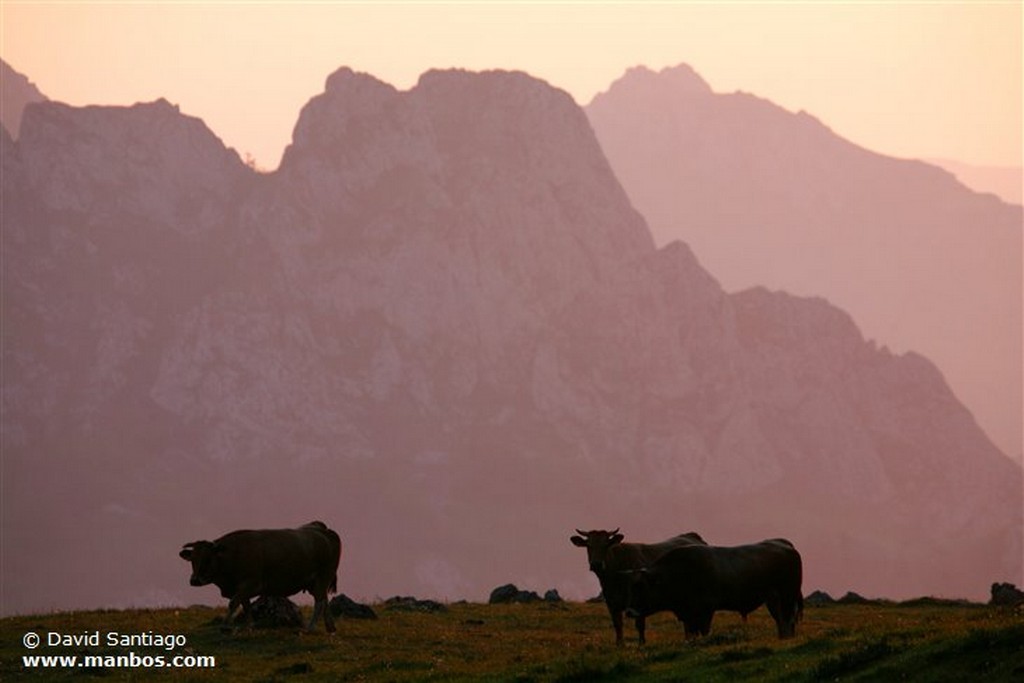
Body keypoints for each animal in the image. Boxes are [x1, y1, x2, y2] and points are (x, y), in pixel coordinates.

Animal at [180, 520, 344, 634]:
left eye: (208, 559)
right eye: (192, 560)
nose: (194, 580)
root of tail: (322, 528)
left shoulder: (251, 583)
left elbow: (233, 603)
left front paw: (225, 627)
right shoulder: (242, 588)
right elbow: (245, 606)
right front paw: (249, 627)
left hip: (323, 576)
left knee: (320, 602)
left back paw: (310, 628)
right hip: (316, 582)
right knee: (324, 600)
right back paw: (331, 627)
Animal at [573, 528, 708, 647]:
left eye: (606, 545)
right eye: (588, 545)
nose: (596, 564)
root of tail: (692, 536)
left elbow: (639, 624)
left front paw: (641, 644)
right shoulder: (612, 603)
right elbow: (617, 624)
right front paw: (620, 645)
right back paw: (689, 640)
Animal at [618, 540, 802, 643]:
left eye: (642, 587)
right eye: (630, 587)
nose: (629, 611)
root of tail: (788, 548)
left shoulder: (705, 610)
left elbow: (704, 630)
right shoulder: (689, 615)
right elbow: (693, 632)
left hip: (787, 596)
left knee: (787, 619)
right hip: (774, 600)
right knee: (782, 620)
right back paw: (784, 638)